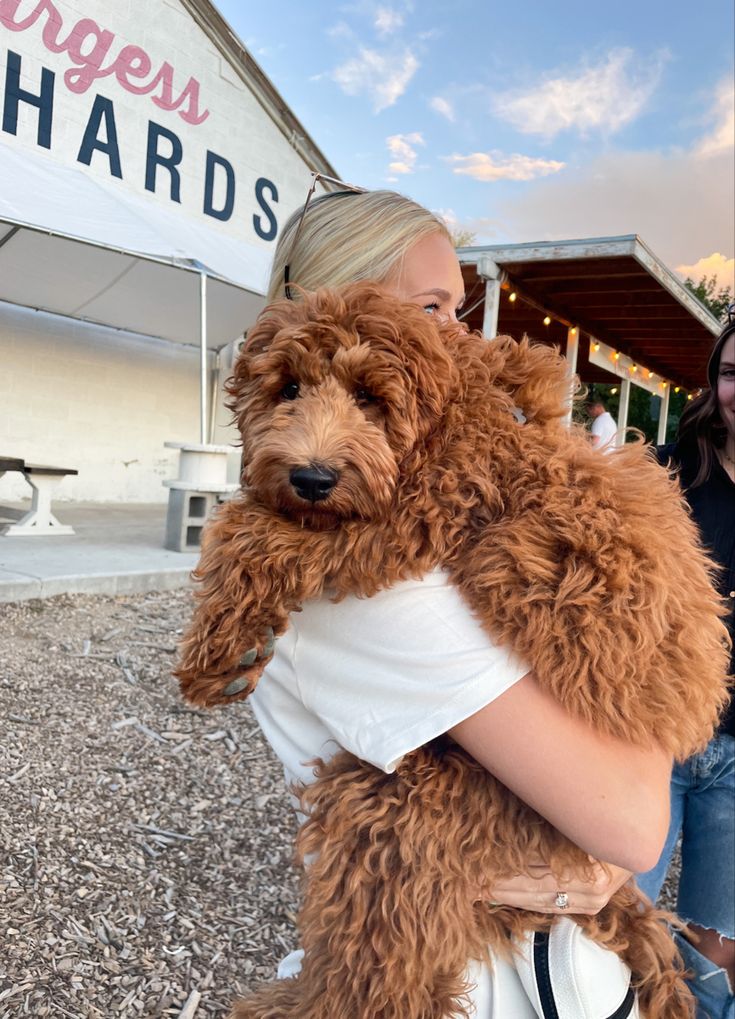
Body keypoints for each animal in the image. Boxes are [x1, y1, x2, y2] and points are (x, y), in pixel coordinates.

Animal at [173, 283, 729, 1019]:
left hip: (427, 807)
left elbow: (255, 529)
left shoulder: (419, 507)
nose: (312, 477)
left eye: (370, 397)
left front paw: (216, 647)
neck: (452, 408)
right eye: (286, 387)